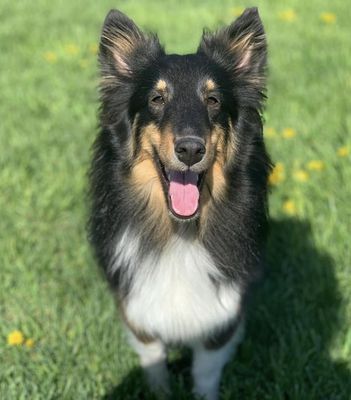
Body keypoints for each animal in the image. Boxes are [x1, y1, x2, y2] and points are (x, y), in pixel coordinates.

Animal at [90, 7, 272, 400]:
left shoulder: (222, 312)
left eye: (213, 100)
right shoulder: (137, 305)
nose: (190, 150)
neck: (180, 231)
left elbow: (206, 368)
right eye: (156, 99)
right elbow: (153, 355)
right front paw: (159, 390)